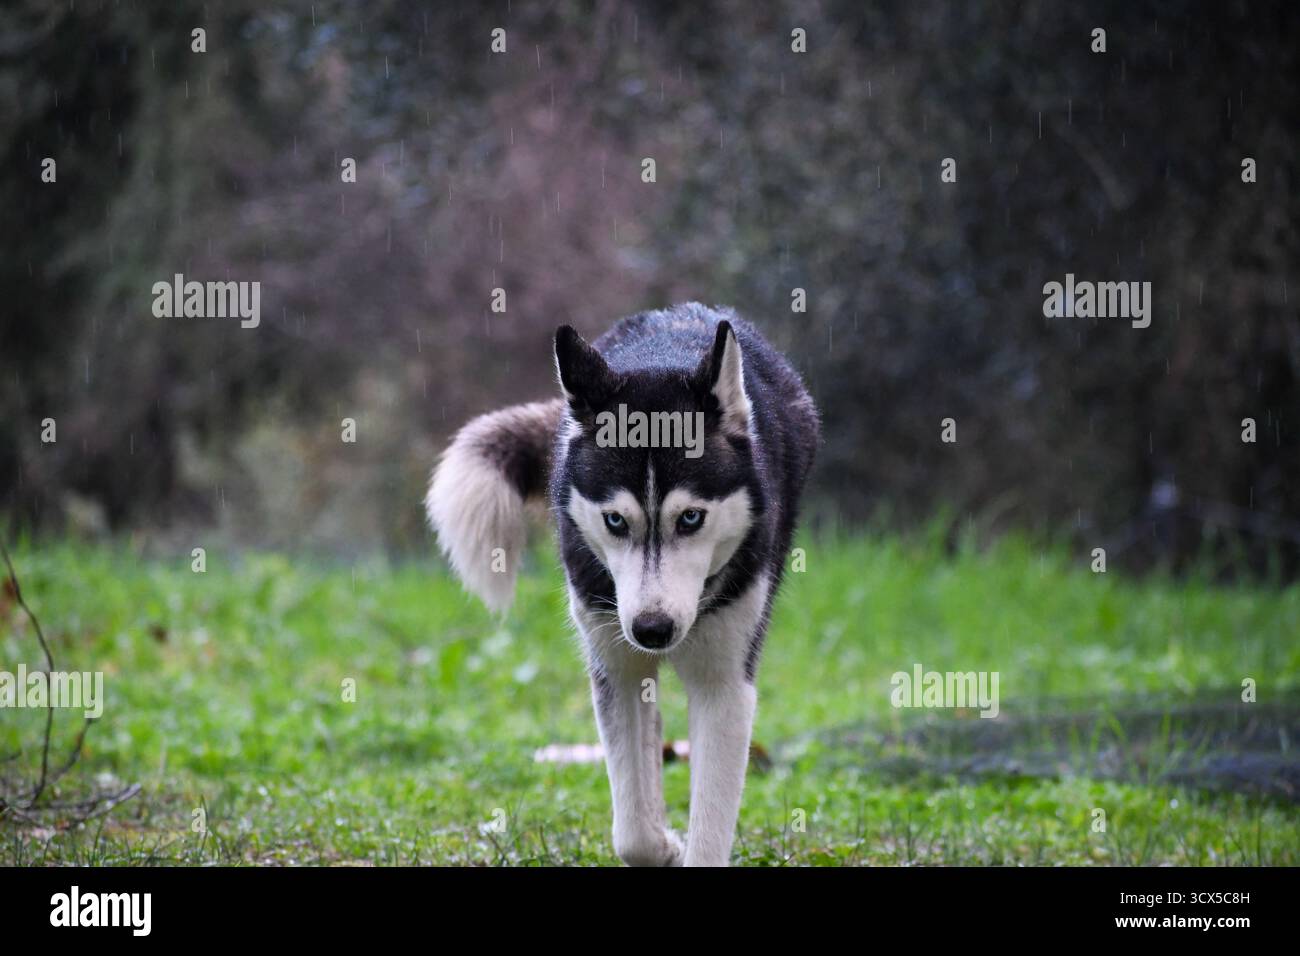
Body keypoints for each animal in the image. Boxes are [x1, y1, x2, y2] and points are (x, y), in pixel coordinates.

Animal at [426, 303, 819, 866]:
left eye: (691, 518)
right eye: (615, 520)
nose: (653, 629)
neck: (660, 358)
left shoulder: (723, 684)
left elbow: (708, 822)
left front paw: (684, 844)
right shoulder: (617, 664)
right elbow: (632, 833)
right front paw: (663, 843)